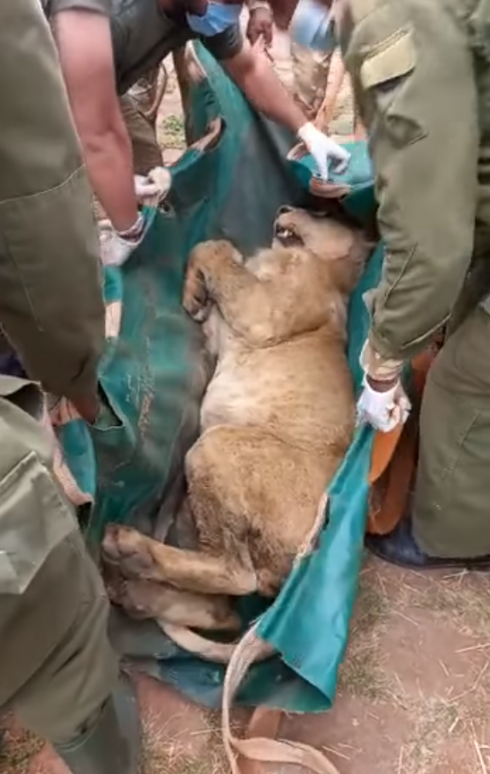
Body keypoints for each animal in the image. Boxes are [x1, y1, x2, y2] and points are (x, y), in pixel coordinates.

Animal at [102, 208, 372, 656]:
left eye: (325, 211)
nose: (283, 208)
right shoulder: (221, 332)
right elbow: (207, 250)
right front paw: (194, 295)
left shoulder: (266, 310)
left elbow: (217, 248)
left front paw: (202, 284)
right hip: (194, 510)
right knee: (221, 611)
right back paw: (132, 585)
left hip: (215, 447)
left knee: (236, 575)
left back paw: (127, 550)